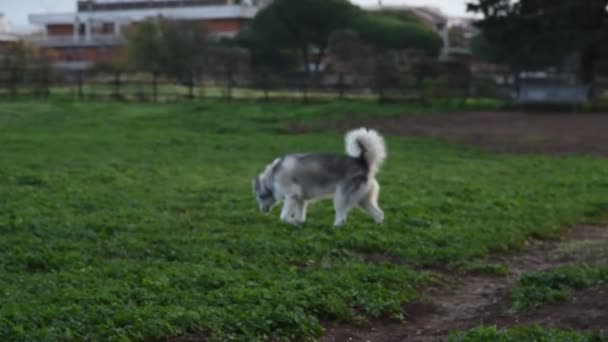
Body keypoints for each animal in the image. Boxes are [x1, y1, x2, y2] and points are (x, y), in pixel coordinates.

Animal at [253, 128, 388, 227]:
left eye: (260, 197)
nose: (262, 211)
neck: (272, 175)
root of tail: (362, 162)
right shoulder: (300, 199)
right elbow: (299, 216)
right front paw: (298, 224)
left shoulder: (292, 196)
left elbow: (284, 217)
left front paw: (292, 222)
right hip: (363, 200)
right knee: (379, 214)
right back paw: (378, 226)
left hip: (341, 198)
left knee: (342, 218)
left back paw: (335, 227)